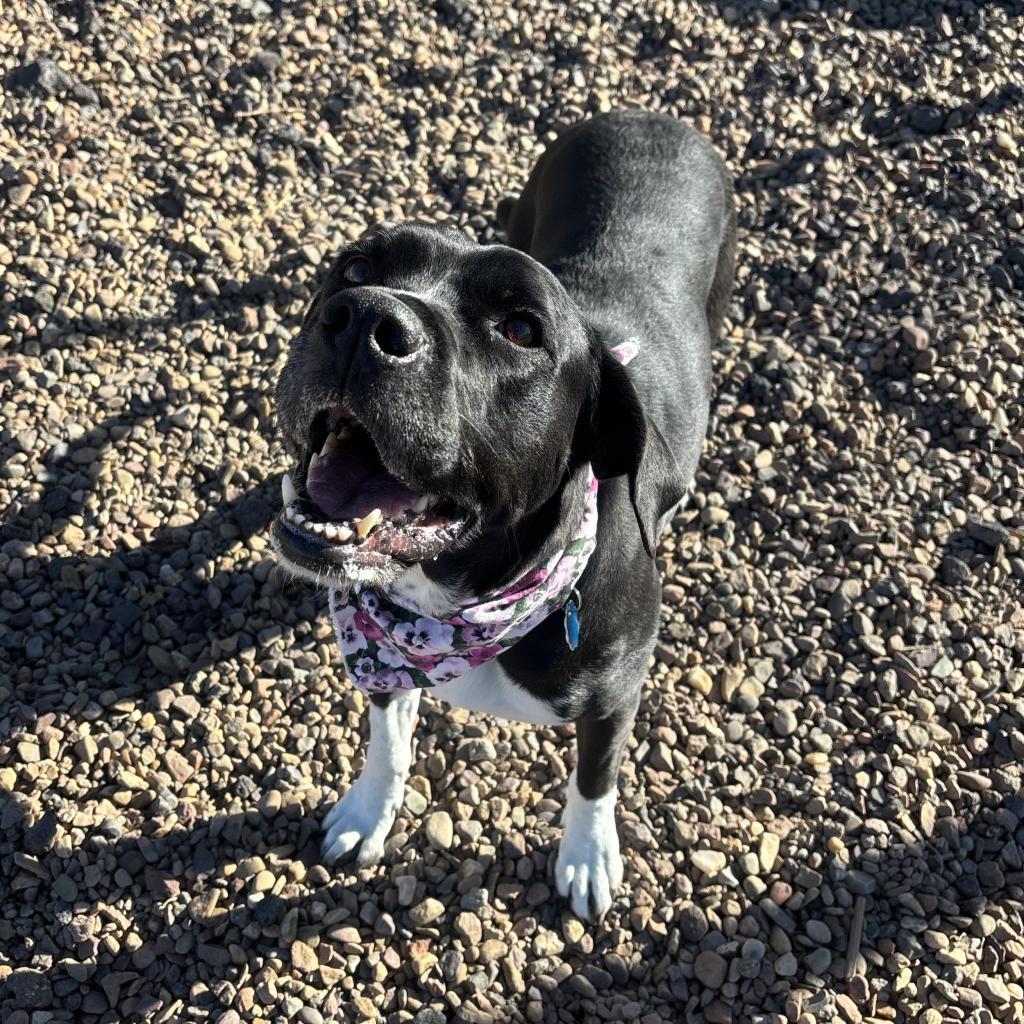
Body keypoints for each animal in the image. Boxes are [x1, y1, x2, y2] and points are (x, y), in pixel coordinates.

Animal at [272, 112, 737, 921]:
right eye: (356, 269)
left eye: (521, 329)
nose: (363, 317)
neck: (458, 600)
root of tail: (649, 116)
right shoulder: (380, 659)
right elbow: (387, 742)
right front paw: (367, 811)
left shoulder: (615, 699)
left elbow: (595, 778)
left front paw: (587, 856)